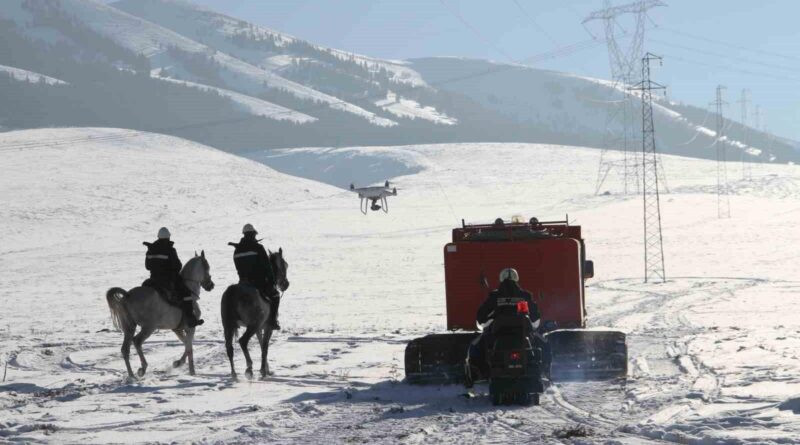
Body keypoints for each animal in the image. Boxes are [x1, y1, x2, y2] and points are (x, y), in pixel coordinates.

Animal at [220, 246, 290, 378]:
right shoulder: (267, 327)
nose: (286, 284)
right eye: (285, 265)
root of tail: (233, 291)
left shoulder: (259, 328)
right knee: (243, 341)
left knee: (229, 348)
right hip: (253, 324)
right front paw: (263, 370)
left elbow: (261, 344)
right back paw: (249, 367)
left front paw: (267, 368)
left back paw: (234, 373)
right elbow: (265, 347)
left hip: (228, 325)